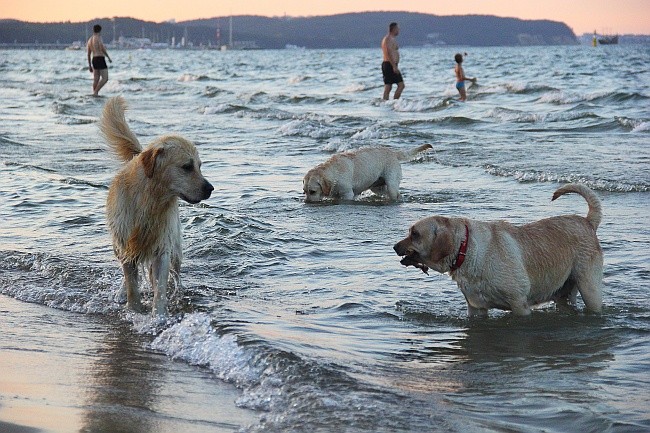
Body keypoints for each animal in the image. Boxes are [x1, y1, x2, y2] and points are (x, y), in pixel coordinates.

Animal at [101, 96, 213, 316]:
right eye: (187, 167)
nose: (210, 188)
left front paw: (159, 316)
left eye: (199, 166)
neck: (150, 200)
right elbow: (132, 285)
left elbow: (159, 287)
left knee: (174, 272)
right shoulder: (127, 244)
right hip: (119, 246)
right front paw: (134, 310)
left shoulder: (162, 247)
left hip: (175, 246)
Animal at [302, 143, 430, 201]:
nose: (307, 202)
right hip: (378, 187)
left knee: (396, 194)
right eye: (304, 192)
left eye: (312, 191)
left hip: (392, 184)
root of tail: (393, 152)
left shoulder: (347, 194)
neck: (334, 172)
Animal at [394, 184, 604, 316]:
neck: (466, 249)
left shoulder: (520, 305)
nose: (394, 247)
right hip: (563, 294)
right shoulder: (476, 308)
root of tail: (587, 222)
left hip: (590, 289)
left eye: (415, 234)